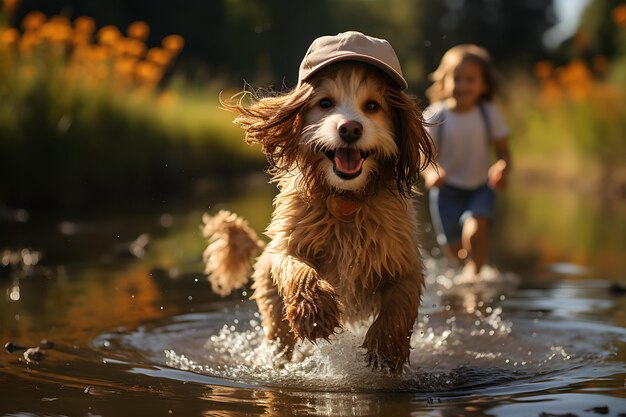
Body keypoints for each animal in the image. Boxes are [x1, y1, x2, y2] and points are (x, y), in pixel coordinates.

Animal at [202, 32, 432, 370]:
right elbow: (296, 268)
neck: (346, 199)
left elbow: (401, 300)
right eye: (325, 103)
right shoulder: (288, 242)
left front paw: (386, 345)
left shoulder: (403, 259)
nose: (350, 128)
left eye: (372, 106)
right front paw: (314, 312)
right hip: (273, 307)